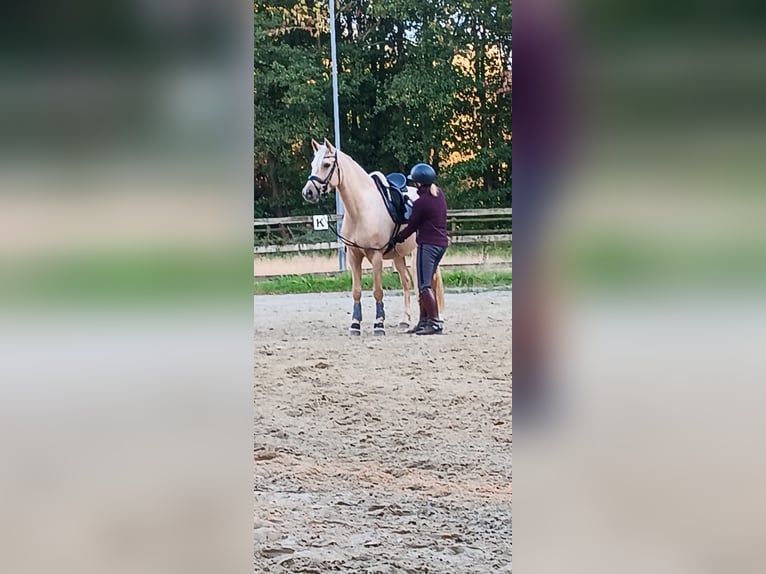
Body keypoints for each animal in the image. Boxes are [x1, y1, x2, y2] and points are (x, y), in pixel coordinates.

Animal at [301, 138, 445, 336]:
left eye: (326, 164)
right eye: (312, 164)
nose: (308, 192)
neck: (361, 209)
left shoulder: (376, 256)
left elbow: (378, 291)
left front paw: (379, 325)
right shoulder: (353, 256)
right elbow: (356, 291)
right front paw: (355, 324)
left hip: (417, 253)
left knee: (422, 284)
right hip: (398, 256)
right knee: (407, 282)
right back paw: (405, 321)